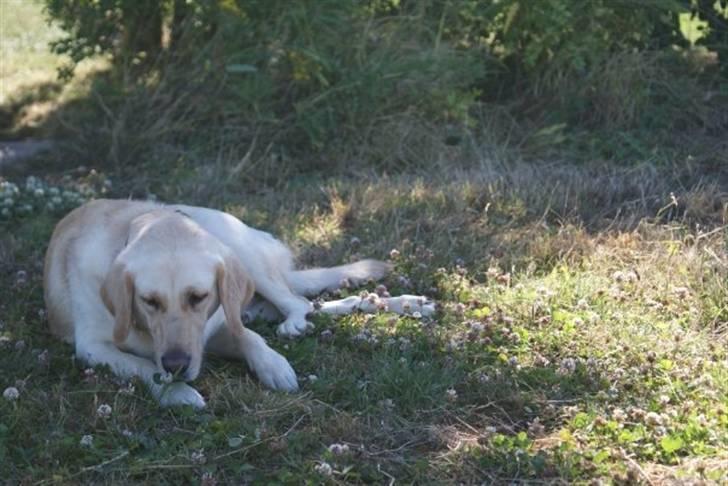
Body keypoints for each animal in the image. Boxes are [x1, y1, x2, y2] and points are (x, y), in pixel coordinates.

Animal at [42, 199, 436, 408]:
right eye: (148, 301)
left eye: (198, 297)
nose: (176, 366)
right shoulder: (93, 348)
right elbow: (139, 365)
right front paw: (178, 393)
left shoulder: (215, 328)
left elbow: (251, 338)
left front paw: (274, 366)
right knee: (315, 305)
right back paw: (406, 304)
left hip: (244, 255)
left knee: (298, 303)